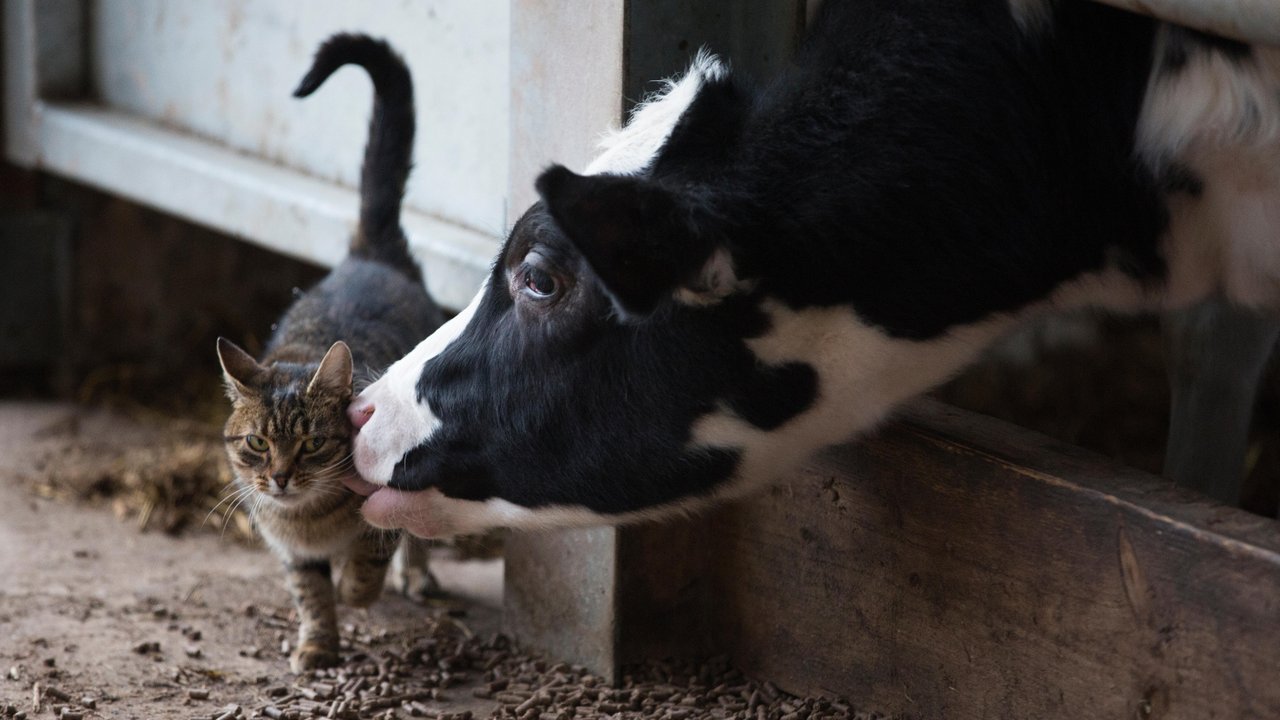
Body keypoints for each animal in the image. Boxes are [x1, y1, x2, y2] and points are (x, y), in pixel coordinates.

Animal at [216, 33, 445, 671]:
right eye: (257, 443)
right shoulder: (291, 550)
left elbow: (369, 558)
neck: (309, 519)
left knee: (417, 537)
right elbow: (310, 592)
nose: (280, 477)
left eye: (313, 443)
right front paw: (318, 641)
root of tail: (371, 253)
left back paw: (415, 575)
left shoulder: (388, 506)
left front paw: (357, 586)